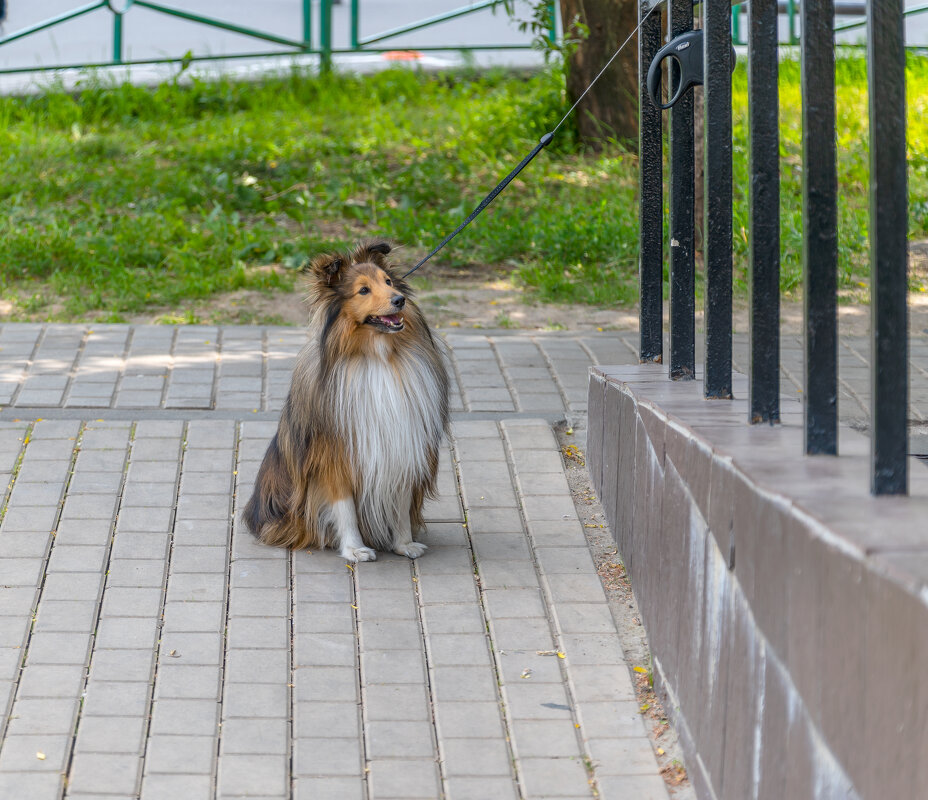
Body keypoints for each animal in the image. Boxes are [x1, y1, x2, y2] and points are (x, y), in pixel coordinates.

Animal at [243, 241, 450, 560]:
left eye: (388, 282)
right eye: (363, 290)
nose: (399, 300)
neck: (378, 357)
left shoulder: (403, 445)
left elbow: (401, 506)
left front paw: (404, 544)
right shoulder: (335, 456)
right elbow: (345, 507)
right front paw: (354, 549)